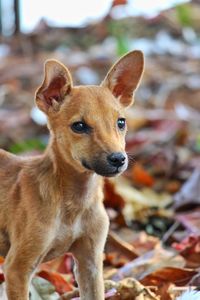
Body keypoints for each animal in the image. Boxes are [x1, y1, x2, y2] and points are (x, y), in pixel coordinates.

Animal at [0, 50, 144, 298]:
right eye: (79, 126)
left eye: (121, 122)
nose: (118, 159)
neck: (74, 203)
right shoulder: (17, 267)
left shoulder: (91, 263)